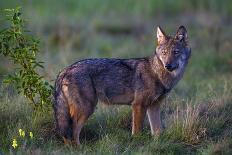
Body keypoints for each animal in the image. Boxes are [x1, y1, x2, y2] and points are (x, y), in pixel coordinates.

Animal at [54, 25, 190, 145]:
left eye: (176, 52)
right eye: (164, 52)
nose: (168, 65)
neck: (158, 74)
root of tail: (65, 70)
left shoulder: (154, 107)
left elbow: (157, 132)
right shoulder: (138, 105)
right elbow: (137, 132)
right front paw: (137, 144)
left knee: (68, 134)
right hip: (87, 109)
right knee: (72, 132)